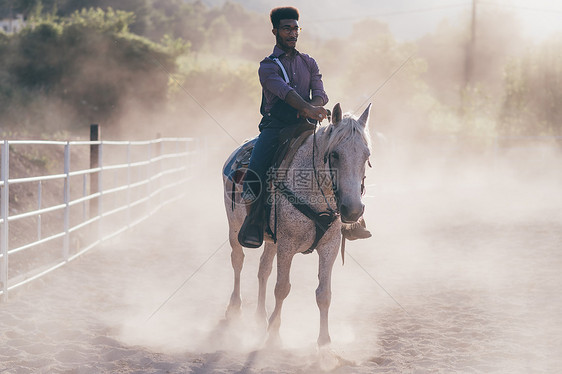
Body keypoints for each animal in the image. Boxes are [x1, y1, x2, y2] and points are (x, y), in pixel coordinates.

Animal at [221, 103, 370, 348]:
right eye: (335, 154)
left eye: (367, 155)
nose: (353, 210)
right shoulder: (287, 246)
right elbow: (282, 288)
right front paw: (274, 333)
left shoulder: (329, 246)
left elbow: (324, 294)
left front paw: (324, 342)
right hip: (234, 226)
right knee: (237, 260)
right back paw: (234, 308)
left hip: (271, 239)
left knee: (263, 269)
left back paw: (260, 317)